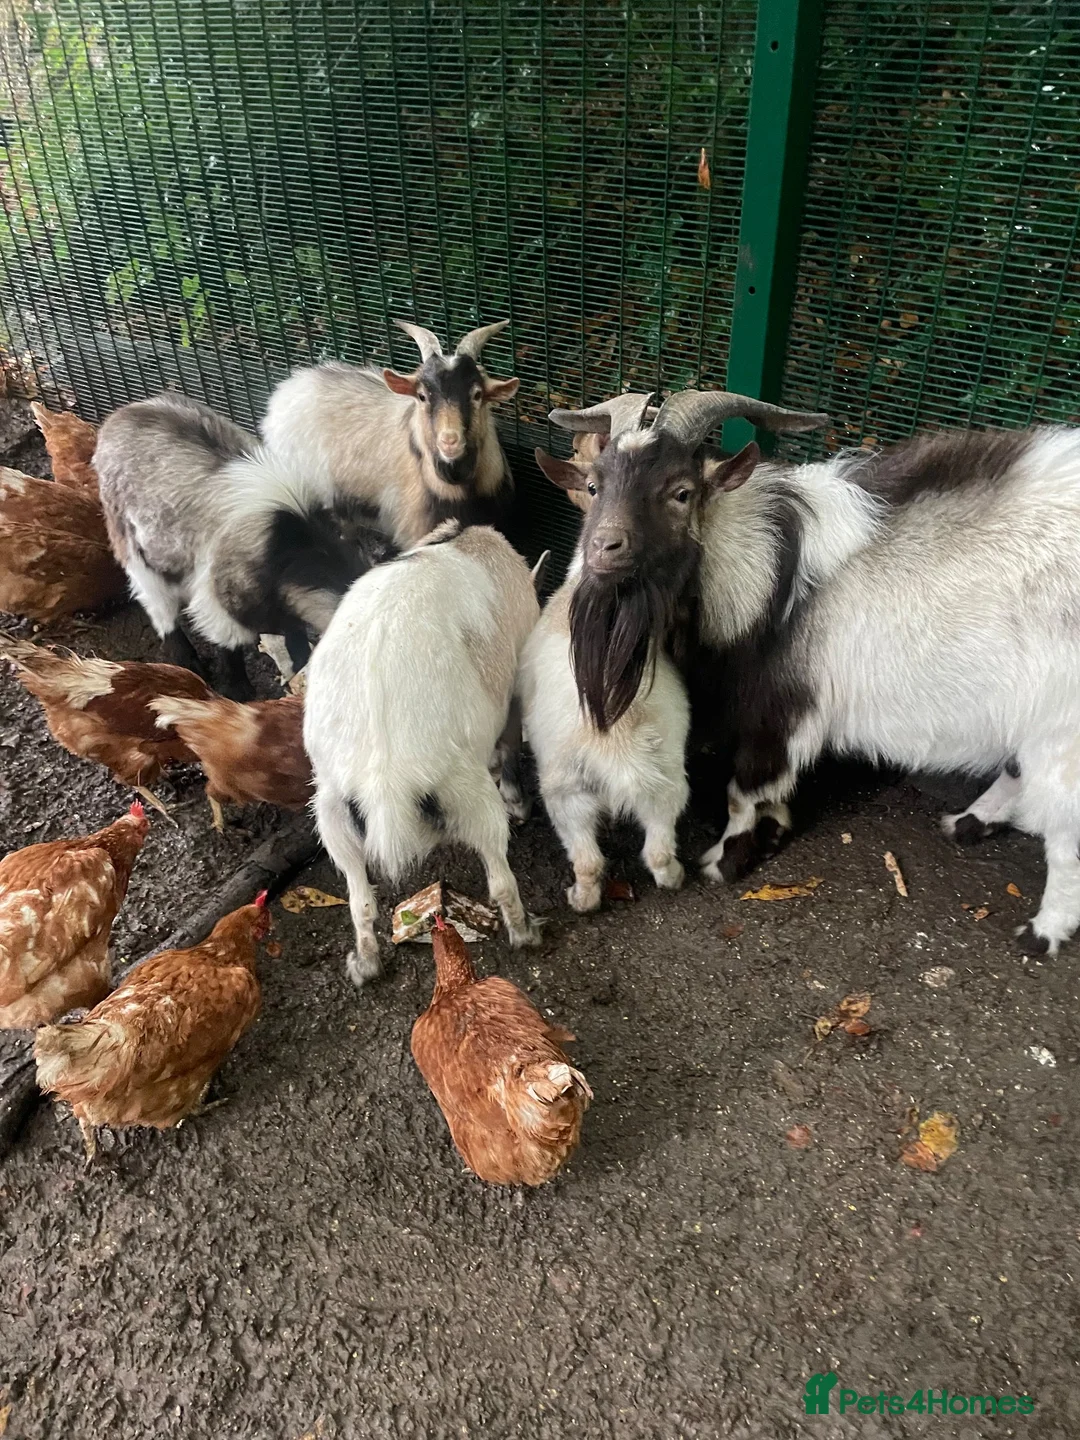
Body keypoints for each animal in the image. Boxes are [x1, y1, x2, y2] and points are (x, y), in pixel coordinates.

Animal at [95, 392, 366, 699]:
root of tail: (120, 415)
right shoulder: (221, 597)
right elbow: (230, 644)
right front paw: (237, 691)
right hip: (130, 543)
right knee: (156, 601)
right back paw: (186, 660)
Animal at [303, 521, 545, 988]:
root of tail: (384, 781)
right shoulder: (513, 686)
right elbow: (510, 742)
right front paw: (520, 803)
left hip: (331, 807)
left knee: (359, 897)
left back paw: (365, 964)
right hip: (465, 787)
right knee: (498, 871)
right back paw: (526, 932)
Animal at [540, 389, 1080, 956]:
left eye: (681, 492)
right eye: (595, 485)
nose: (603, 549)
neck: (769, 575)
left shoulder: (781, 710)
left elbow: (743, 792)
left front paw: (726, 861)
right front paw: (776, 830)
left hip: (1063, 735)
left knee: (1065, 842)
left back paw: (1043, 932)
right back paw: (967, 823)